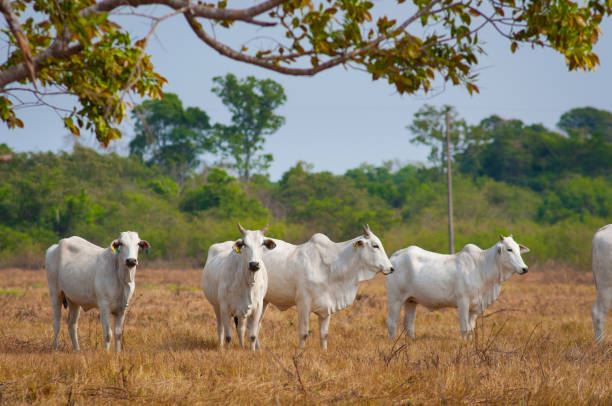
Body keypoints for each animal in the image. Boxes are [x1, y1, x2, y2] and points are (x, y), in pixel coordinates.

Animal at [260, 225, 394, 348]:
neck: (330, 266)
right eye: (375, 245)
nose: (391, 268)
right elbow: (303, 333)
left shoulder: (327, 305)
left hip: (264, 301)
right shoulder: (303, 303)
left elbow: (324, 335)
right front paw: (300, 352)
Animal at [390, 233, 528, 340]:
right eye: (509, 249)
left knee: (408, 324)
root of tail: (395, 255)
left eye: (518, 248)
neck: (482, 267)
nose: (524, 268)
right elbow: (464, 328)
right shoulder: (463, 301)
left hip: (411, 301)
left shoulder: (475, 307)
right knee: (392, 323)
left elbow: (471, 329)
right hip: (395, 299)